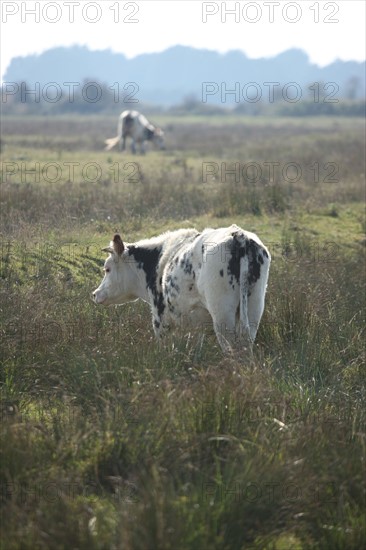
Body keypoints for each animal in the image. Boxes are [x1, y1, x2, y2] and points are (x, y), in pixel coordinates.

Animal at [93, 225, 270, 352]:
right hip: (254, 308)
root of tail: (239, 236)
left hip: (222, 314)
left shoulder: (160, 320)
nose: (95, 294)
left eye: (107, 269)